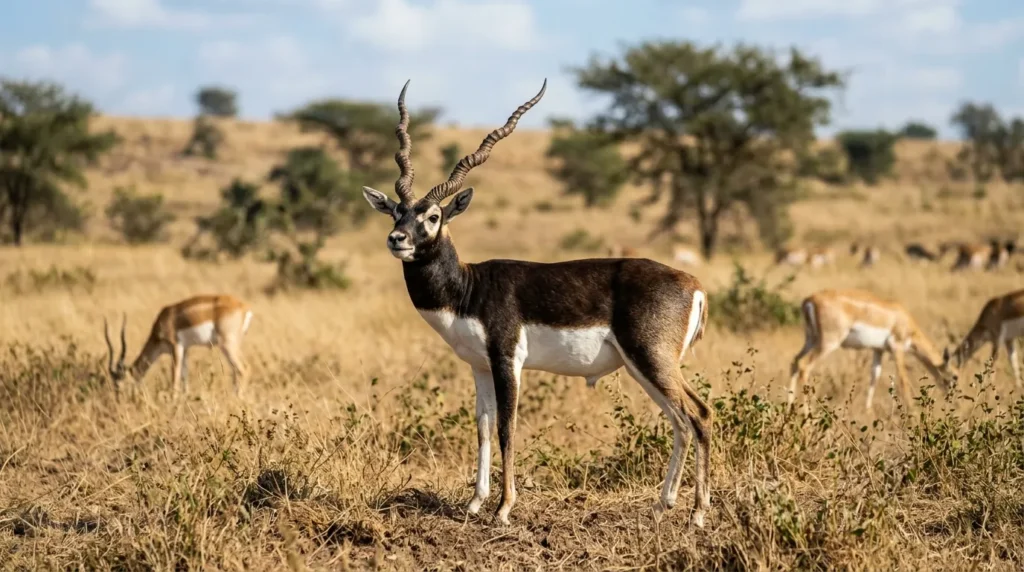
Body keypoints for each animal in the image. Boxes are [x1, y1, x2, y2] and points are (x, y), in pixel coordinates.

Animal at [103, 294, 253, 396]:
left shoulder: (176, 347)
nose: (118, 401)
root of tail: (244, 307)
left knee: (244, 368)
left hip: (227, 345)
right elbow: (184, 377)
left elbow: (174, 379)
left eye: (119, 384)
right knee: (236, 371)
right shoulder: (185, 350)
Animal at [360, 80, 712, 527]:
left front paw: (503, 508)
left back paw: (697, 514)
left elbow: (507, 428)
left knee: (699, 415)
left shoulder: (507, 359)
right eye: (396, 212)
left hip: (651, 359)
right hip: (645, 367)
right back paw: (662, 505)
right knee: (680, 420)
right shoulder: (479, 366)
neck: (470, 288)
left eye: (434, 216)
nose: (397, 239)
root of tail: (694, 284)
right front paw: (475, 502)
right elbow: (483, 426)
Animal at [788, 289, 956, 413]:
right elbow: (903, 380)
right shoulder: (897, 348)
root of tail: (809, 300)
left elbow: (874, 375)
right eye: (955, 376)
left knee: (795, 362)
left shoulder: (878, 350)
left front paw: (868, 410)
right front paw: (912, 411)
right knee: (804, 365)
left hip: (810, 340)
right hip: (827, 343)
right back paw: (806, 413)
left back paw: (789, 407)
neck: (902, 317)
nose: (952, 401)